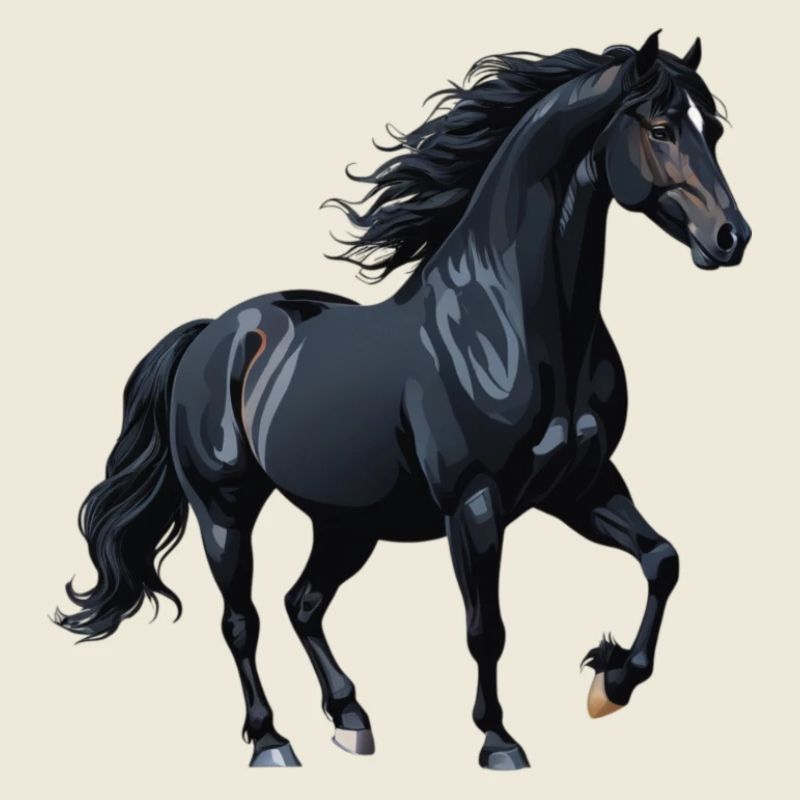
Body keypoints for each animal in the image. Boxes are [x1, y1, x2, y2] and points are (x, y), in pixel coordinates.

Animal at [56, 31, 751, 769]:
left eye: (712, 130)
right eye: (661, 127)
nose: (732, 238)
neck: (513, 324)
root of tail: (209, 333)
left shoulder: (582, 485)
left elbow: (663, 560)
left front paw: (610, 682)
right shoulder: (474, 504)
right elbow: (486, 628)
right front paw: (499, 741)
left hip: (346, 523)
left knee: (303, 603)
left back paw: (350, 718)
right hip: (225, 510)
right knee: (242, 619)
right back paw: (271, 742)